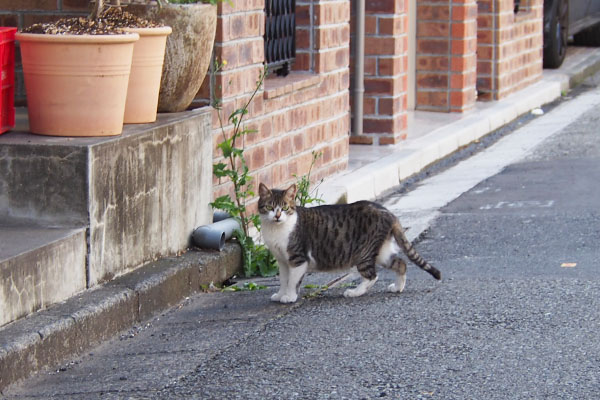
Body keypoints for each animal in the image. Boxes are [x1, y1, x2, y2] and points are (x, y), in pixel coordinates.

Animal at [258, 184, 440, 304]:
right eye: (269, 207)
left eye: (285, 207)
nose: (277, 216)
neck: (275, 230)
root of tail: (388, 213)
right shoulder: (282, 261)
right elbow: (283, 279)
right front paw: (280, 294)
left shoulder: (297, 259)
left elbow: (293, 281)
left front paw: (289, 297)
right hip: (382, 252)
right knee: (401, 263)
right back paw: (398, 287)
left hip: (364, 252)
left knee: (372, 276)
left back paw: (355, 292)